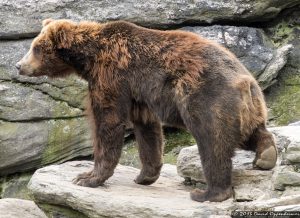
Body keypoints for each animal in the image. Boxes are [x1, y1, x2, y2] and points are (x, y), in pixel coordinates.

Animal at [15, 18, 276, 203]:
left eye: (36, 48)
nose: (18, 65)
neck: (88, 58)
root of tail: (247, 82)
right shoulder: (139, 94)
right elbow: (147, 129)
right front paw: (145, 176)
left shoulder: (112, 76)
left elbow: (108, 120)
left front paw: (86, 177)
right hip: (247, 108)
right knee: (251, 132)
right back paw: (266, 156)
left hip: (206, 98)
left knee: (213, 141)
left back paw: (208, 193)